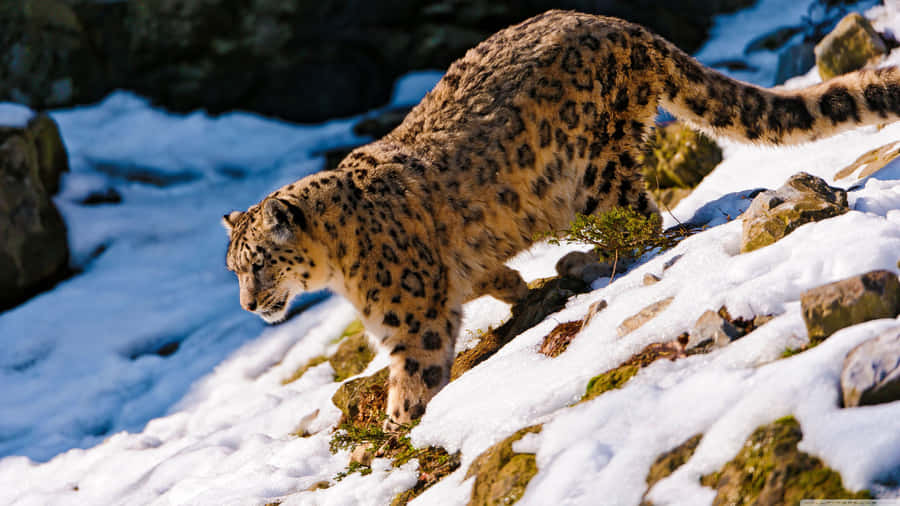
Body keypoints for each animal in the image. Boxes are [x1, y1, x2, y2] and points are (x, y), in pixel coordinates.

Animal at [224, 9, 900, 427]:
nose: (249, 306)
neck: (339, 270)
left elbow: (415, 372)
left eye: (260, 263)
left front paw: (399, 425)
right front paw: (512, 287)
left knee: (642, 220)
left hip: (597, 170)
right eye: (235, 269)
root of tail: (622, 25)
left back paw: (582, 259)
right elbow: (484, 274)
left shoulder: (410, 318)